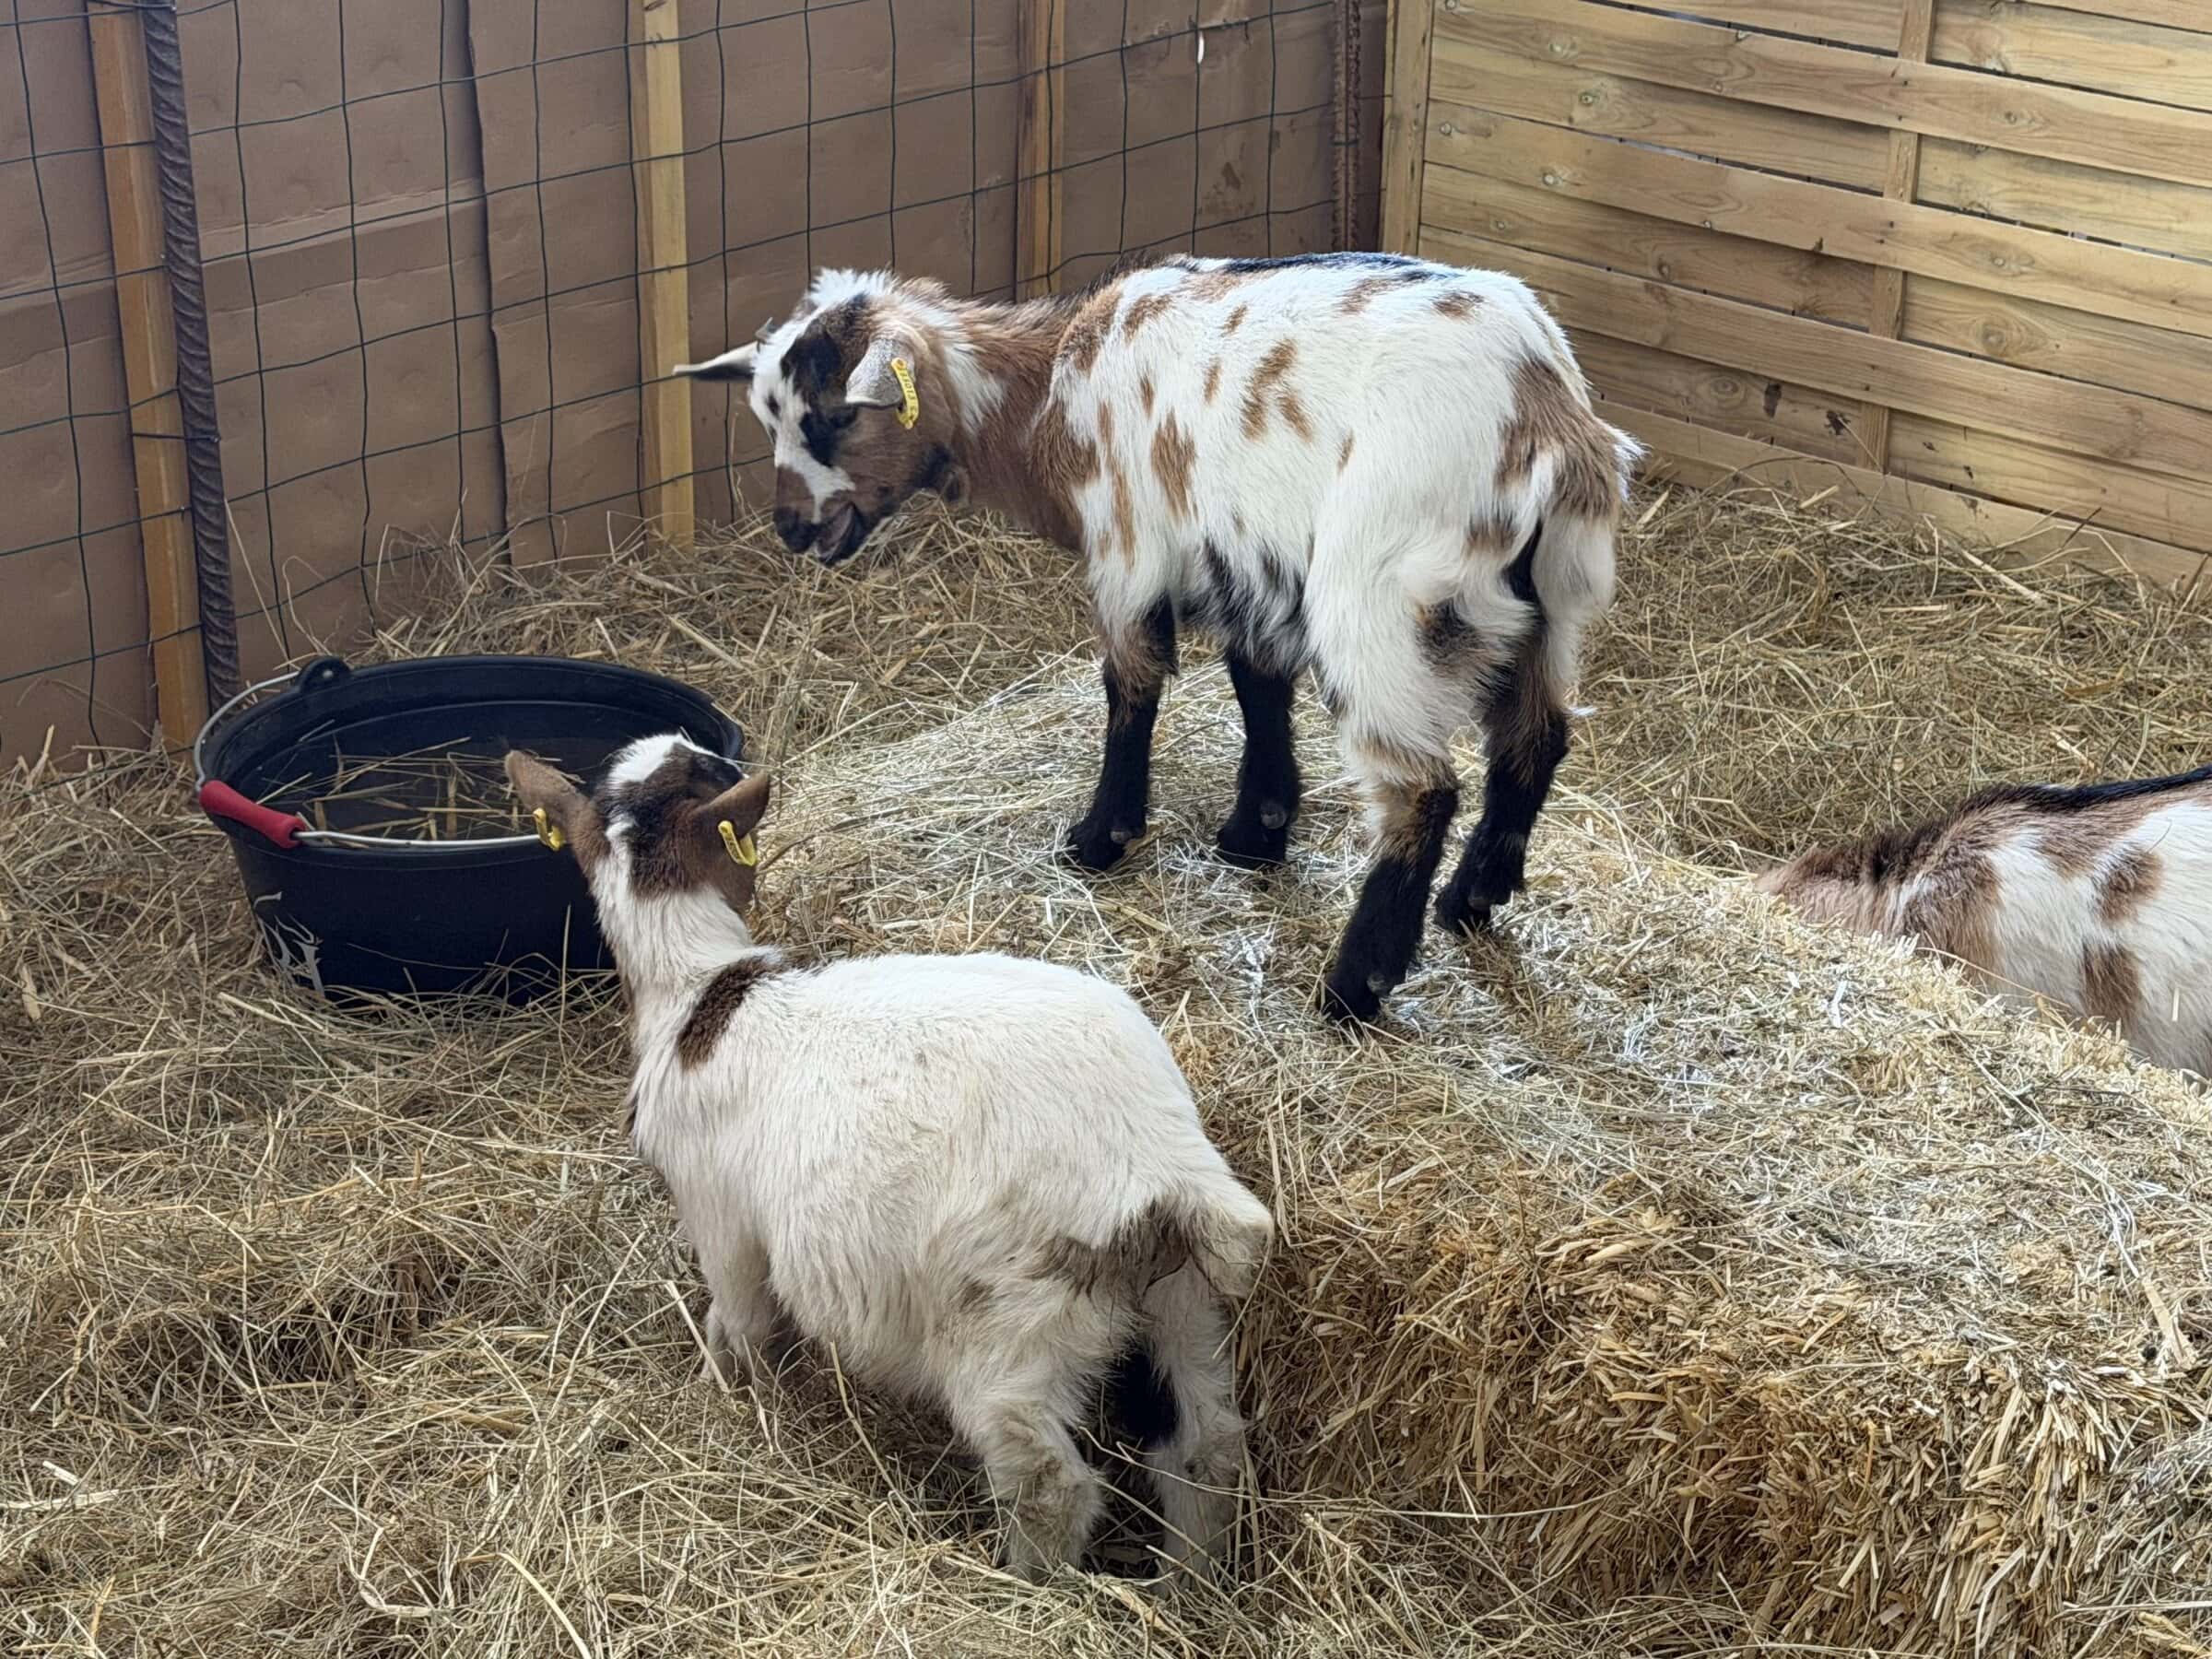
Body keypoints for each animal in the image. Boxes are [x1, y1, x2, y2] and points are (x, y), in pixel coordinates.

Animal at [505, 735, 1276, 1582]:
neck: (701, 991)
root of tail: (1162, 1165)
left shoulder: (722, 1223)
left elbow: (739, 1327)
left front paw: (741, 1408)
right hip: (1183, 1302)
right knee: (1206, 1449)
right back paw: (1190, 1584)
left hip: (1011, 1323)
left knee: (1049, 1482)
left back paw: (1026, 1583)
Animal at [673, 253, 1642, 1025]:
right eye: (768, 419)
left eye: (835, 417)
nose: (792, 530)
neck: (1050, 394)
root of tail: (1548, 417)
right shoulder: (1248, 558)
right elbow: (1257, 684)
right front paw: (1256, 830)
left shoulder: (1130, 547)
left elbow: (1131, 687)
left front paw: (1101, 837)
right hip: (1548, 605)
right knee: (1536, 736)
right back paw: (1473, 898)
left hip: (1376, 593)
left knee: (1421, 790)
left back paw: (1356, 983)